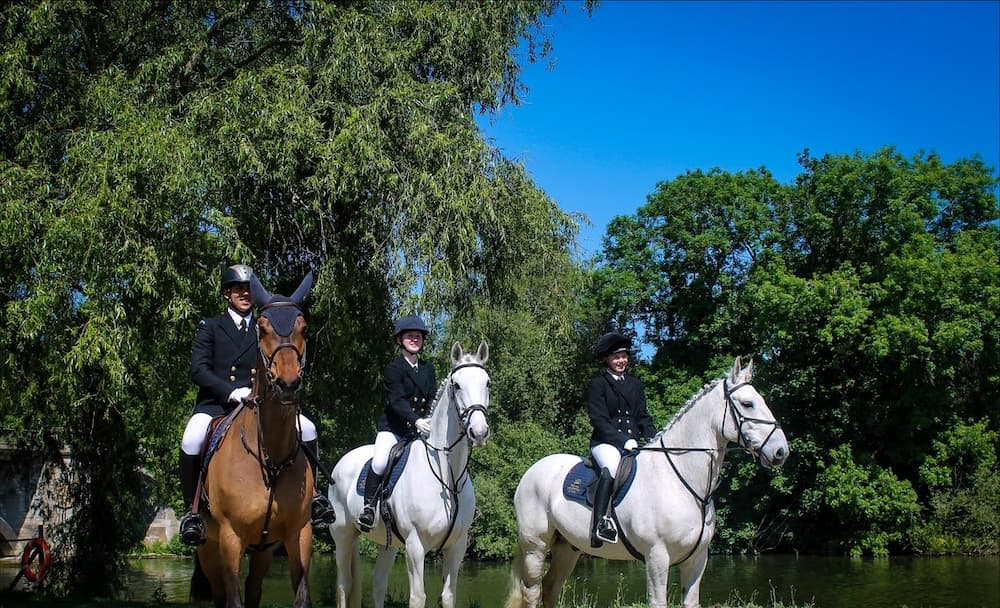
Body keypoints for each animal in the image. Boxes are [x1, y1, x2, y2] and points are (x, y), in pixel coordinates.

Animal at [189, 272, 316, 608]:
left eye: (303, 328)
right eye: (263, 328)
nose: (288, 384)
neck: (270, 457)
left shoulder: (299, 534)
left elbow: (301, 596)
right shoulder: (231, 538)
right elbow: (232, 600)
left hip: (264, 549)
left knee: (254, 588)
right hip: (209, 547)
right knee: (221, 593)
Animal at [328, 340, 491, 608]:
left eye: (487, 383)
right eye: (457, 385)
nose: (478, 432)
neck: (448, 477)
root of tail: (343, 460)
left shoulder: (456, 547)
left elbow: (448, 597)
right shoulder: (416, 546)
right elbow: (418, 597)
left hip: (388, 544)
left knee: (378, 583)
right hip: (343, 536)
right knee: (344, 586)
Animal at [505, 357, 789, 608]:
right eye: (748, 404)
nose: (780, 452)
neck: (682, 481)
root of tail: (532, 470)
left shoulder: (697, 558)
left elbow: (691, 602)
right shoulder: (657, 557)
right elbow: (658, 602)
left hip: (568, 548)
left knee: (551, 589)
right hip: (535, 547)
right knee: (532, 591)